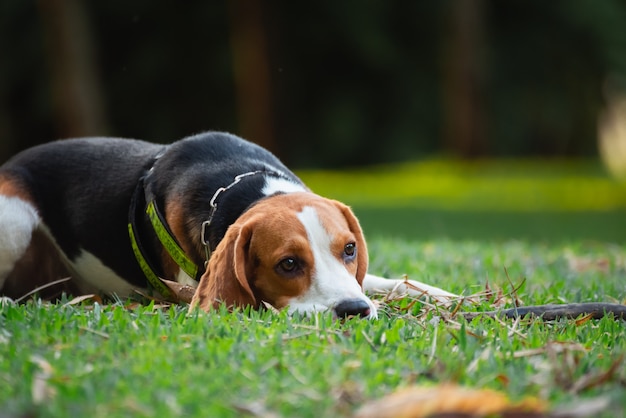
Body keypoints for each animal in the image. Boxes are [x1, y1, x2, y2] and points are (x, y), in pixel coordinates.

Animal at [0, 132, 454, 318]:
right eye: (288, 264)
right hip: (14, 216)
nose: (355, 311)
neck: (244, 182)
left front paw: (446, 297)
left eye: (349, 249)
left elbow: (396, 283)